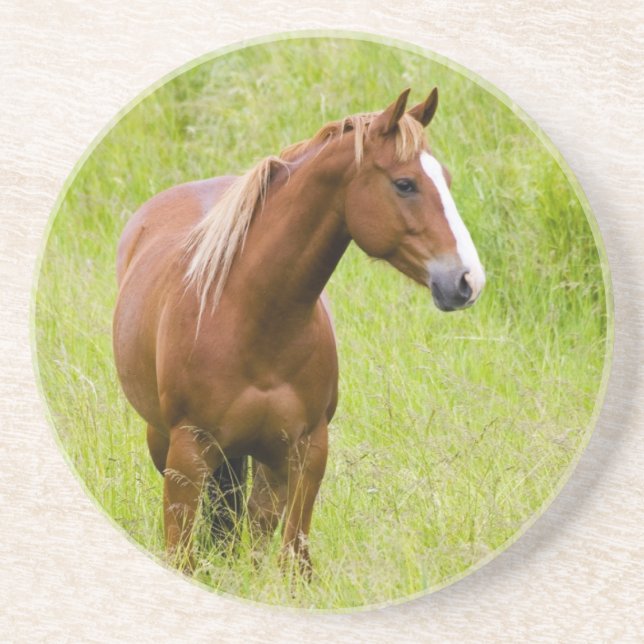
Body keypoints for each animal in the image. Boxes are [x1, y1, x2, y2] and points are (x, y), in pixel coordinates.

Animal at [112, 88, 485, 576]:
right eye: (405, 184)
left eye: (446, 179)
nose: (468, 281)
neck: (250, 318)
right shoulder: (186, 457)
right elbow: (183, 555)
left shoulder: (306, 452)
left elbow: (292, 561)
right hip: (166, 443)